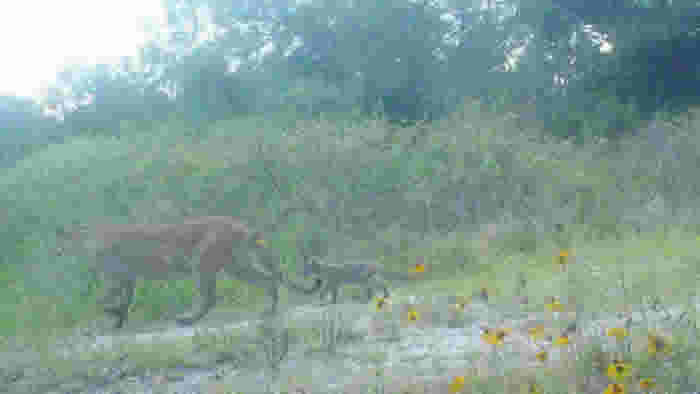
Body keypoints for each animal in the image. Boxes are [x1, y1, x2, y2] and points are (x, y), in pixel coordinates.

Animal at [61, 217, 322, 328]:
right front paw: (118, 318)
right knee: (268, 279)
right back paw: (270, 309)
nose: (89, 254)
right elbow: (125, 299)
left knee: (210, 297)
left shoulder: (117, 278)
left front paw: (111, 313)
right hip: (236, 266)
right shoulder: (127, 279)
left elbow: (103, 300)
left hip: (203, 262)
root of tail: (240, 225)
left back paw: (187, 319)